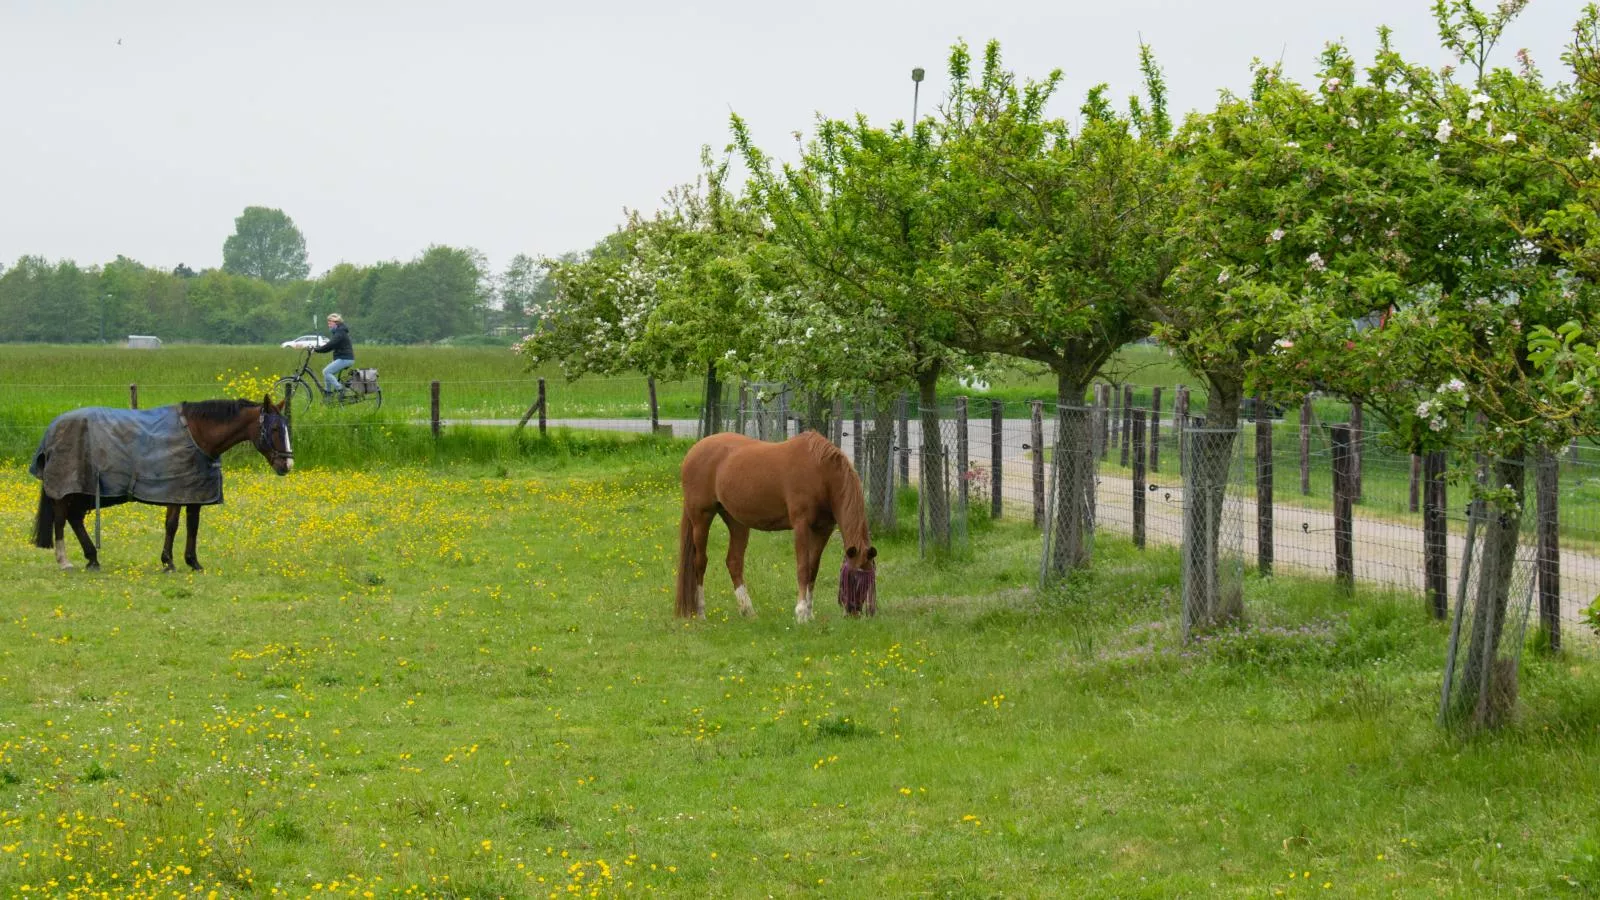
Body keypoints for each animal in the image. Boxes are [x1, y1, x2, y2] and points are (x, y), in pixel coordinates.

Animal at [31, 395, 292, 570]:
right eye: (274, 428)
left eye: (286, 427)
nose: (287, 465)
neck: (198, 434)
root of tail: (53, 428)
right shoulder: (174, 492)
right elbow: (172, 525)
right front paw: (168, 562)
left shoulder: (194, 493)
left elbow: (193, 526)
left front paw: (193, 562)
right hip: (68, 488)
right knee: (61, 518)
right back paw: (65, 561)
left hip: (83, 491)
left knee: (74, 518)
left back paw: (92, 558)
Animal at [675, 425, 876, 614]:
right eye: (853, 577)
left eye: (870, 579)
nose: (854, 612)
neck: (821, 473)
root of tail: (694, 451)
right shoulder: (801, 525)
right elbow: (803, 568)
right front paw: (801, 613)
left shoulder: (823, 529)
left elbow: (813, 569)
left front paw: (809, 613)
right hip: (701, 518)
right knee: (700, 562)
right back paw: (701, 611)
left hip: (736, 521)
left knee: (734, 562)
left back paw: (749, 612)